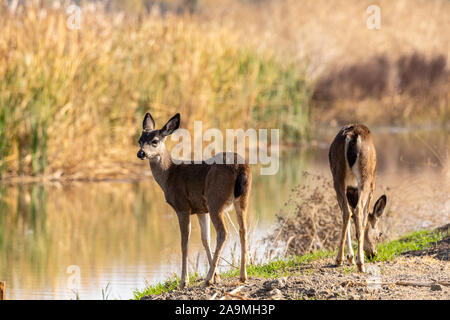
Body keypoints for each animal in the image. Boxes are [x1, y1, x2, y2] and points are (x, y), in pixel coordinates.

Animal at [135, 112, 251, 288]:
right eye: (139, 140)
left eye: (155, 141)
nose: (140, 153)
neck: (170, 175)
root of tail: (240, 167)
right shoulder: (201, 209)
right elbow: (205, 240)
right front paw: (217, 276)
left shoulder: (182, 207)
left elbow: (185, 243)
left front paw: (184, 281)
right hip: (242, 199)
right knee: (242, 230)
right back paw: (242, 276)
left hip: (215, 199)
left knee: (223, 233)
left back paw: (207, 280)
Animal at [326, 124, 386, 272]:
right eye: (380, 235)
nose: (374, 254)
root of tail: (353, 135)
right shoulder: (371, 187)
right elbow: (363, 219)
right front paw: (354, 258)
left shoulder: (350, 188)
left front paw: (350, 257)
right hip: (366, 176)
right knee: (357, 210)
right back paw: (359, 263)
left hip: (338, 176)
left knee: (346, 212)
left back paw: (340, 259)